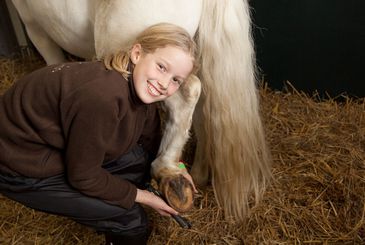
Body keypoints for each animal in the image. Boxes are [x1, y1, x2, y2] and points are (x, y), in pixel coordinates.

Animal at [11, 0, 270, 220]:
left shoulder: (34, 25)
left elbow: (53, 62)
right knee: (204, 108)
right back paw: (196, 173)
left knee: (188, 95)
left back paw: (168, 171)